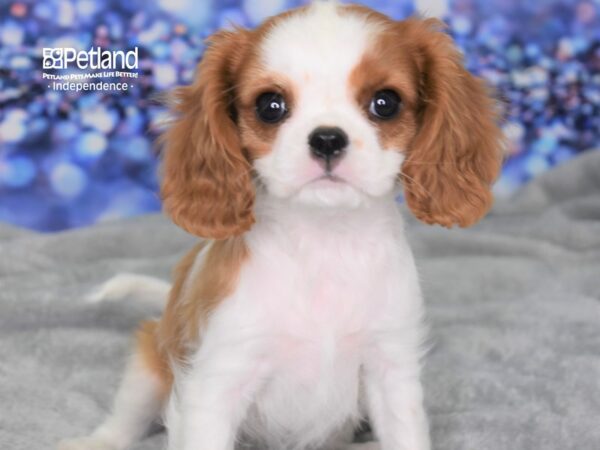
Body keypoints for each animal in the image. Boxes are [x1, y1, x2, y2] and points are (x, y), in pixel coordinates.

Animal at [59, 3, 502, 450]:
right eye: (270, 105)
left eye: (386, 103)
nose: (327, 139)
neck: (325, 243)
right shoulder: (216, 382)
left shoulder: (391, 369)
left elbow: (405, 432)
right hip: (149, 362)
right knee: (125, 417)